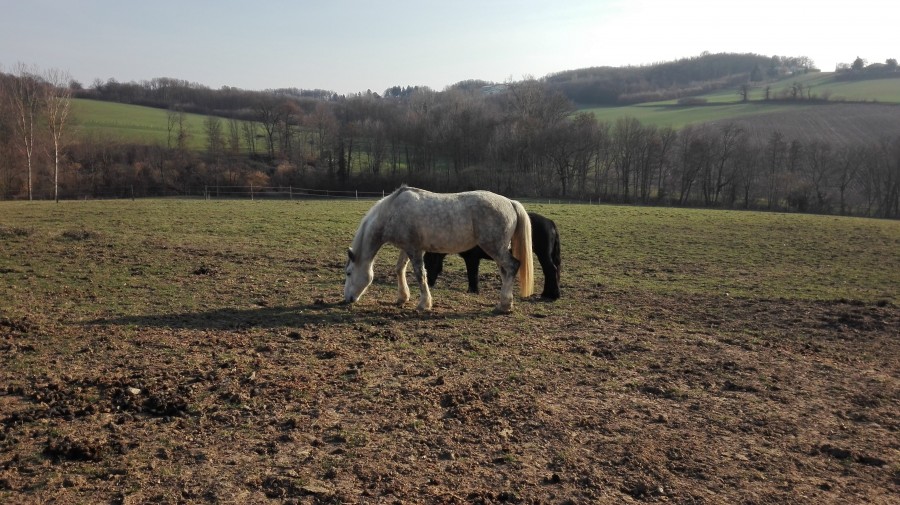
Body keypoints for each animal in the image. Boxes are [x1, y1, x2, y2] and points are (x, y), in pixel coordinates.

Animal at [343, 186, 534, 312]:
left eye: (348, 273)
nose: (347, 299)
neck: (392, 211)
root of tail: (510, 202)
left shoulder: (415, 250)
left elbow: (420, 275)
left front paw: (424, 304)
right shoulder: (407, 248)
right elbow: (399, 269)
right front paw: (402, 297)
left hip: (494, 248)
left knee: (512, 266)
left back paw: (504, 305)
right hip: (499, 249)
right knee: (505, 271)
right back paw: (504, 303)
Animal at [424, 212, 561, 300]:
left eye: (429, 261)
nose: (429, 283)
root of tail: (550, 222)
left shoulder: (471, 259)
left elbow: (472, 274)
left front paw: (472, 291)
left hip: (543, 254)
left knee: (551, 270)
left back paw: (551, 295)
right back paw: (547, 293)